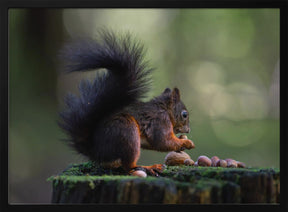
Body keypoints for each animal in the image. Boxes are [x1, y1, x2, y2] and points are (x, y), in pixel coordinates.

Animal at [58, 29, 195, 176]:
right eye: (184, 114)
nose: (188, 130)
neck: (165, 109)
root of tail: (97, 152)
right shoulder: (160, 121)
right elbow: (162, 141)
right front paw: (187, 143)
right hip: (127, 132)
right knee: (128, 166)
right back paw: (148, 167)